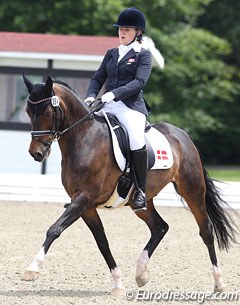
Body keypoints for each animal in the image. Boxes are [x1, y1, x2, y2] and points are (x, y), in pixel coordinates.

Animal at [21, 74, 237, 294]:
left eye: (47, 111)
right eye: (28, 111)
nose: (36, 153)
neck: (85, 138)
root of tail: (183, 136)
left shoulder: (84, 198)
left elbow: (54, 229)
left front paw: (32, 269)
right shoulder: (85, 206)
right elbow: (102, 242)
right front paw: (118, 284)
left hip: (192, 190)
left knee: (206, 231)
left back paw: (219, 283)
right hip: (141, 201)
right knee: (160, 227)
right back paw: (141, 273)